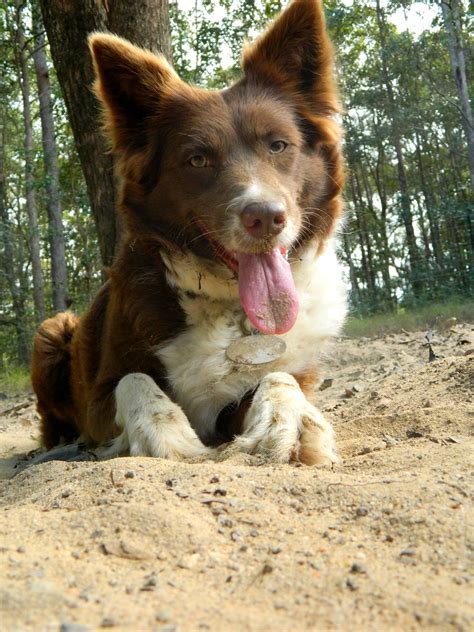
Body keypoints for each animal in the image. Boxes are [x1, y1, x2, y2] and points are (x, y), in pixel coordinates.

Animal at [31, 0, 346, 464]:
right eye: (198, 160)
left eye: (278, 145)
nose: (266, 217)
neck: (233, 307)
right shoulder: (96, 400)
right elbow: (134, 380)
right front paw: (167, 434)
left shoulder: (274, 380)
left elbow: (279, 379)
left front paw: (290, 424)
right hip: (52, 330)